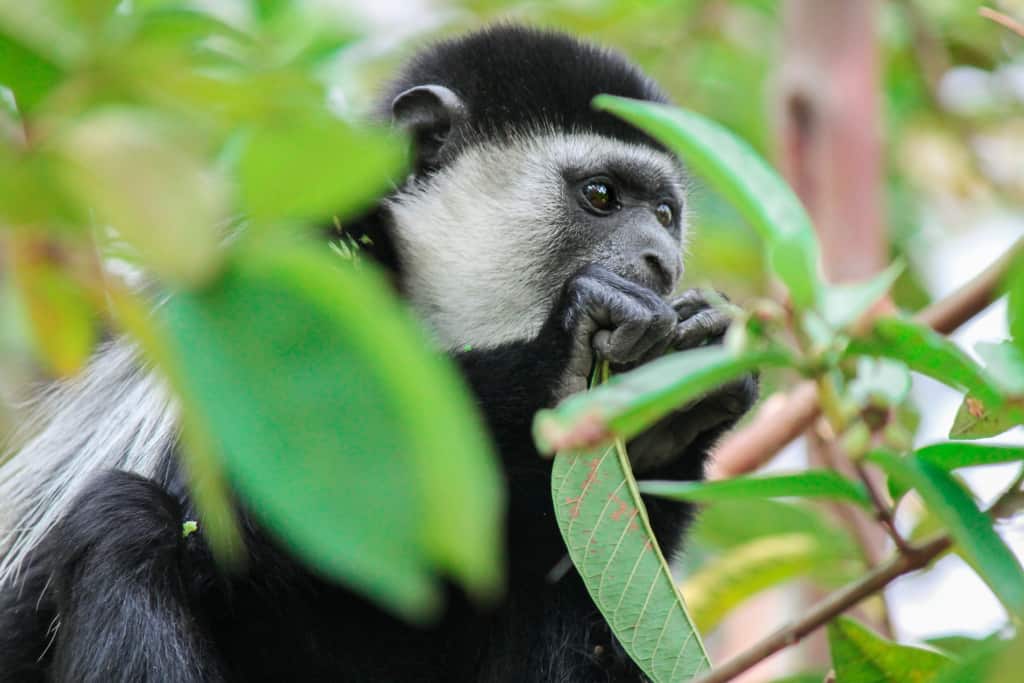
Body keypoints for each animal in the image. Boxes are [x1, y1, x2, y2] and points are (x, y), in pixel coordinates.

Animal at [2, 25, 761, 683]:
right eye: (602, 195)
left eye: (665, 214)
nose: (662, 262)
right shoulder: (289, 274)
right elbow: (258, 501)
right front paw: (560, 356)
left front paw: (679, 402)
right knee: (120, 522)